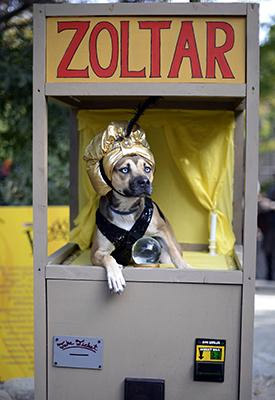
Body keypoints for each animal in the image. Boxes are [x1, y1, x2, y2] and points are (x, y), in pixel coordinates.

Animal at [91, 154, 191, 294]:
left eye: (147, 169)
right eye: (125, 170)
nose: (144, 181)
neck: (126, 209)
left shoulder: (162, 229)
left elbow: (173, 251)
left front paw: (184, 267)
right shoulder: (97, 252)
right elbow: (108, 258)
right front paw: (116, 276)